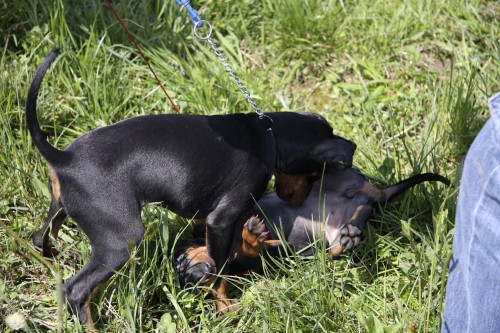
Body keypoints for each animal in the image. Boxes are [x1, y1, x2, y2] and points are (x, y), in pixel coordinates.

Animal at [27, 50, 356, 324]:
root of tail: (64, 158)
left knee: (40, 238)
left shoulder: (204, 220)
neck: (270, 134)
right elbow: (220, 271)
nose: (294, 201)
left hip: (60, 210)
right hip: (121, 240)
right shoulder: (220, 220)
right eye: (314, 175)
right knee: (76, 291)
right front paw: (225, 307)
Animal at [175, 163, 450, 288]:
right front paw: (251, 237)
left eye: (180, 262)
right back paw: (349, 235)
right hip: (350, 221)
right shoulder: (259, 259)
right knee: (354, 223)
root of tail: (375, 193)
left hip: (341, 178)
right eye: (184, 275)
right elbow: (254, 247)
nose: (198, 277)